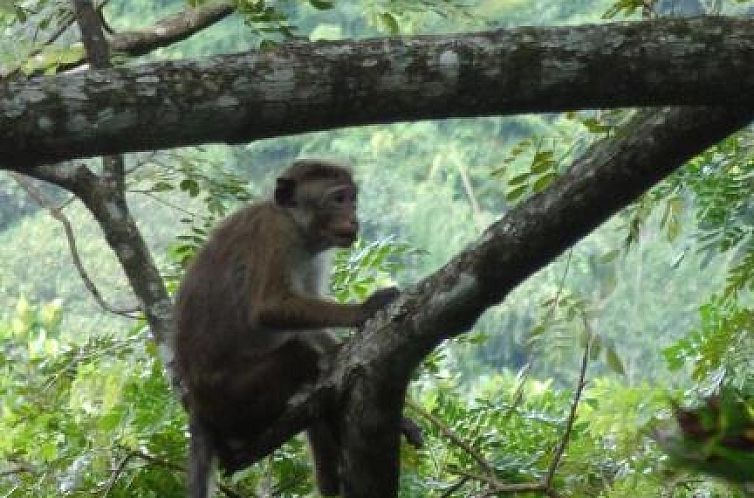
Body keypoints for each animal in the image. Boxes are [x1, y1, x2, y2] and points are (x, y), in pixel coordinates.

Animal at [173, 160, 418, 498]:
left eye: (352, 198)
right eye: (338, 199)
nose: (353, 217)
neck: (296, 222)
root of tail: (197, 404)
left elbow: (306, 323)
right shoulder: (276, 233)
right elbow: (270, 308)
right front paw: (363, 310)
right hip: (232, 396)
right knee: (299, 358)